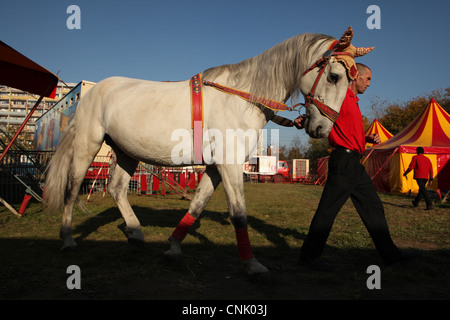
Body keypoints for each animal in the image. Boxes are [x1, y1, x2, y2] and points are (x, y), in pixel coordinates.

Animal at [44, 27, 370, 278]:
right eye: (334, 76)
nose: (322, 128)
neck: (242, 97)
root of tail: (94, 91)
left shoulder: (214, 167)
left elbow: (196, 206)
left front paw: (174, 247)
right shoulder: (229, 165)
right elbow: (239, 214)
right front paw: (252, 265)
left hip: (126, 152)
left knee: (116, 189)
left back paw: (135, 233)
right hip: (88, 145)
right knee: (72, 188)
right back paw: (68, 239)